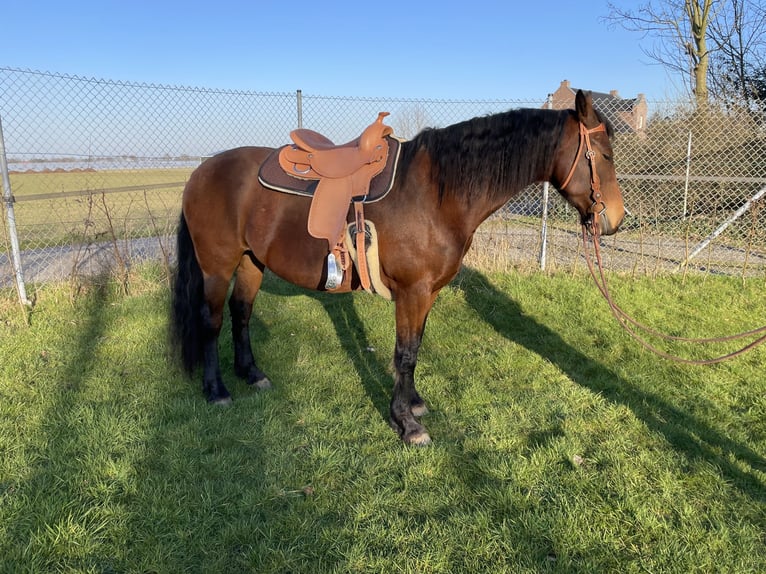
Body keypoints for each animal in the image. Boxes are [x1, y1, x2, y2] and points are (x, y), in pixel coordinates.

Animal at [172, 92, 624, 448]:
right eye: (603, 156)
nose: (616, 221)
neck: (437, 193)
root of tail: (200, 172)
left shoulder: (428, 292)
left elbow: (416, 348)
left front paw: (414, 403)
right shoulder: (413, 290)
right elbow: (405, 354)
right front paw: (406, 424)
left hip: (252, 262)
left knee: (242, 314)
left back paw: (252, 375)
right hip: (217, 266)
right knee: (211, 321)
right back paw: (217, 391)